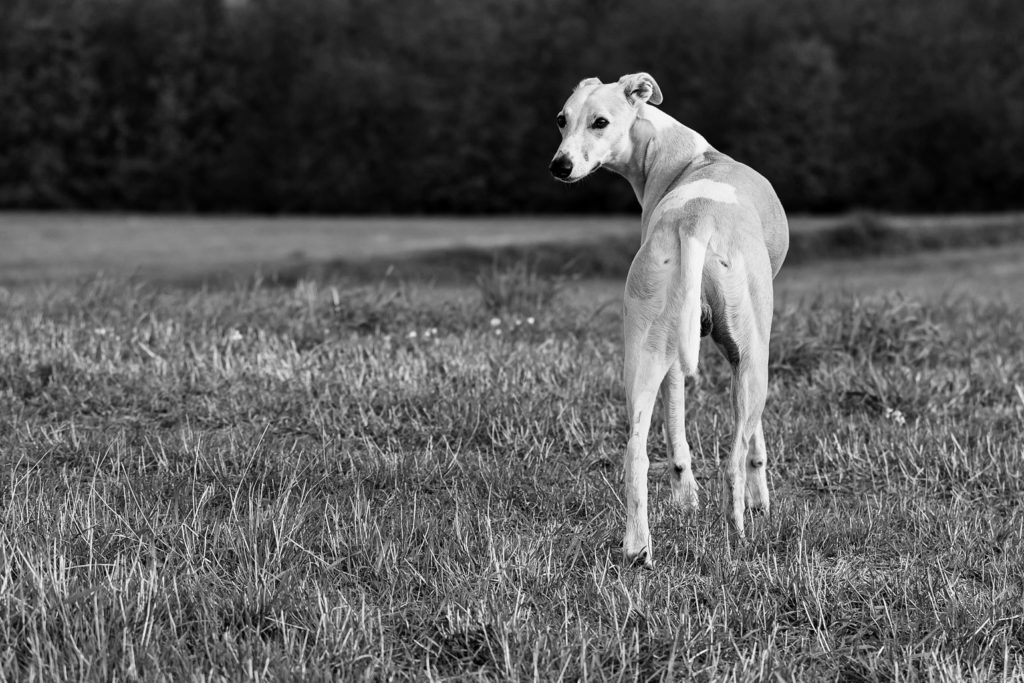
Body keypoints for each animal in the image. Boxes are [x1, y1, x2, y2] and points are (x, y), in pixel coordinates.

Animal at [548, 72, 786, 569]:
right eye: (563, 119)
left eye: (599, 121)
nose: (560, 166)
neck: (680, 156)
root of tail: (694, 222)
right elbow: (756, 443)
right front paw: (761, 501)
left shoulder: (677, 354)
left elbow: (676, 429)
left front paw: (685, 499)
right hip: (753, 360)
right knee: (734, 457)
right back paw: (738, 534)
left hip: (643, 351)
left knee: (635, 453)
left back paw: (638, 547)